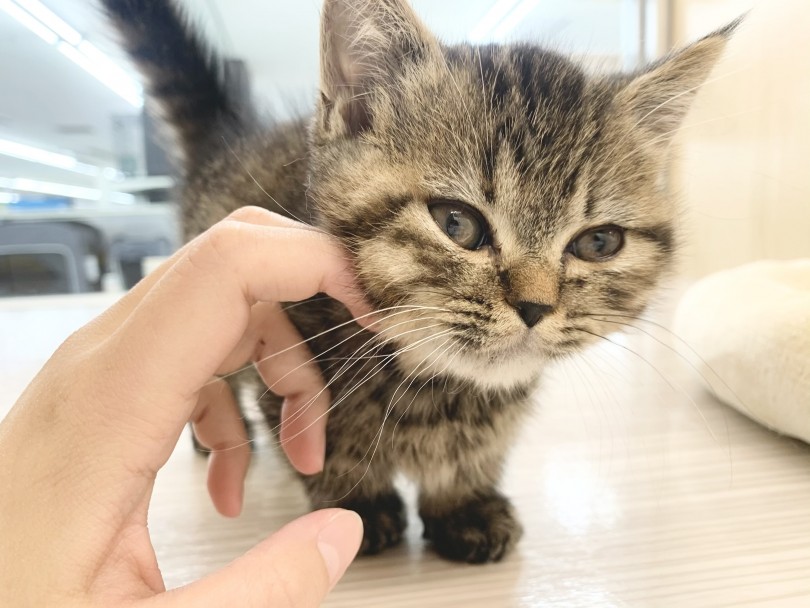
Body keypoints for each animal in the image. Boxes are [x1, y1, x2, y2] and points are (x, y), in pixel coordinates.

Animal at [104, 0, 736, 564]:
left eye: (598, 243)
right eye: (457, 223)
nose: (535, 306)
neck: (434, 385)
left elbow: (477, 450)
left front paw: (463, 504)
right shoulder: (278, 337)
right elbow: (316, 439)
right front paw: (356, 503)